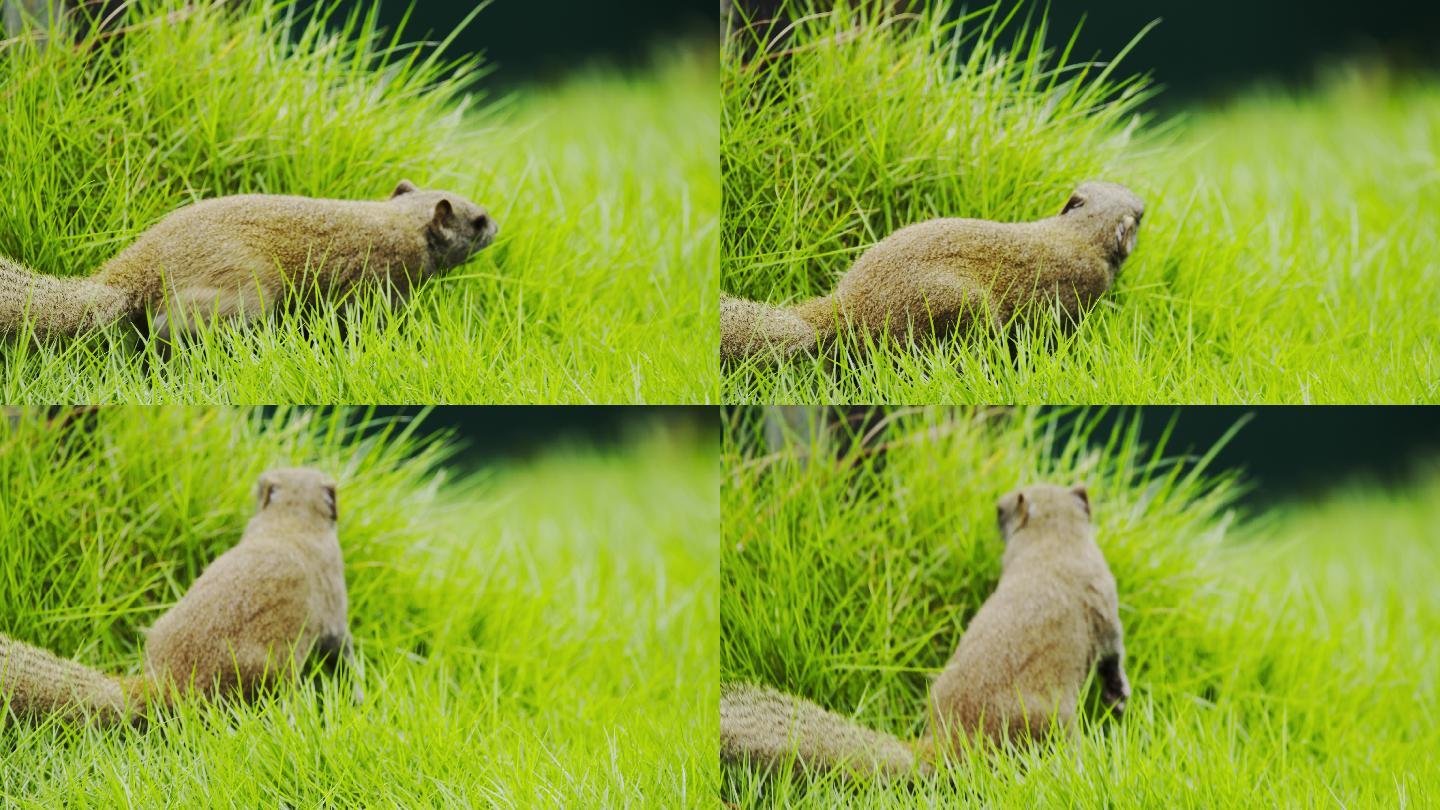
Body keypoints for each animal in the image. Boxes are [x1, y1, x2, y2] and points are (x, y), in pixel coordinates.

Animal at [717, 478, 1123, 778]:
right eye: (1001, 508)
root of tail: (945, 740)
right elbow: (1113, 657)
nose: (997, 504)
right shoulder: (1107, 609)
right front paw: (1118, 698)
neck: (1054, 548)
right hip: (1056, 718)